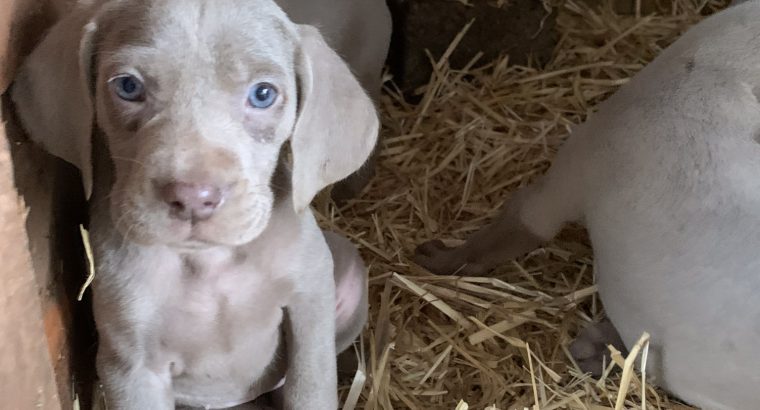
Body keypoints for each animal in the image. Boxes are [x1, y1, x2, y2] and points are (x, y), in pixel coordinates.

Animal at [12, 0, 392, 410]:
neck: (209, 264)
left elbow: (310, 390)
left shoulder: (310, 306)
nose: (194, 197)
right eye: (128, 86)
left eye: (263, 94)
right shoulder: (131, 366)